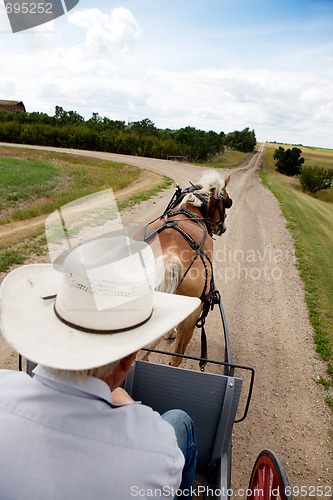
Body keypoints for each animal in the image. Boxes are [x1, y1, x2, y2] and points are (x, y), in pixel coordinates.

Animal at [139, 170, 232, 370]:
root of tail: (169, 257)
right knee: (175, 356)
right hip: (191, 317)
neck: (190, 210)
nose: (223, 227)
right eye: (227, 201)